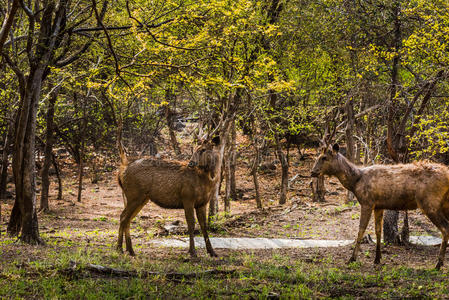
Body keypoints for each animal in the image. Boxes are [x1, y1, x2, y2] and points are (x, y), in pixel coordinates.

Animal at [310, 144, 448, 270]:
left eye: (324, 157)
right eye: (318, 157)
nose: (312, 172)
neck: (355, 182)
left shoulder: (367, 202)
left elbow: (361, 230)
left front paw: (352, 258)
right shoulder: (378, 206)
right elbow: (378, 231)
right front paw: (377, 259)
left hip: (429, 203)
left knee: (445, 228)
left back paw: (438, 264)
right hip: (443, 204)